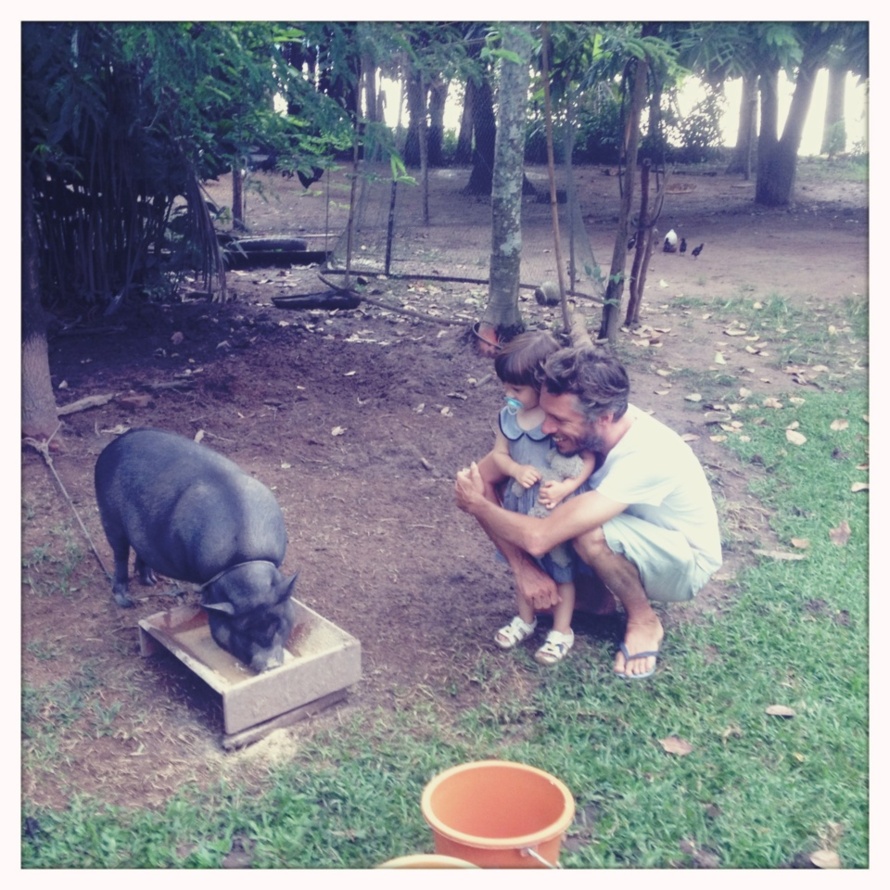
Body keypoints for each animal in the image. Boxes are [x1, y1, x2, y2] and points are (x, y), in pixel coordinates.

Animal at [93, 426, 296, 668]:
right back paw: (125, 600)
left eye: (279, 623)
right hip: (109, 516)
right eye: (241, 631)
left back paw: (151, 582)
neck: (243, 562)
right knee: (120, 554)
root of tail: (115, 443)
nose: (270, 665)